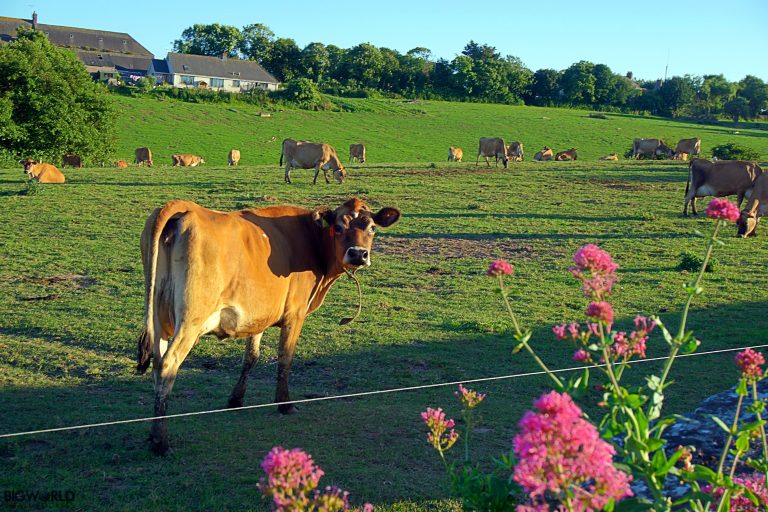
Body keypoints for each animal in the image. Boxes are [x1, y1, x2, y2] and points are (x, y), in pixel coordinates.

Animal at [135, 197, 401, 454]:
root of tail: (185, 208)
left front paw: (236, 400)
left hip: (158, 317)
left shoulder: (258, 315)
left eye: (372, 228)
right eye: (338, 227)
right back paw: (160, 442)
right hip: (190, 320)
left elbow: (251, 358)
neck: (312, 239)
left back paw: (152, 434)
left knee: (158, 364)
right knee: (168, 365)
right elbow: (285, 357)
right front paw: (284, 403)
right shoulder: (295, 313)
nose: (358, 254)